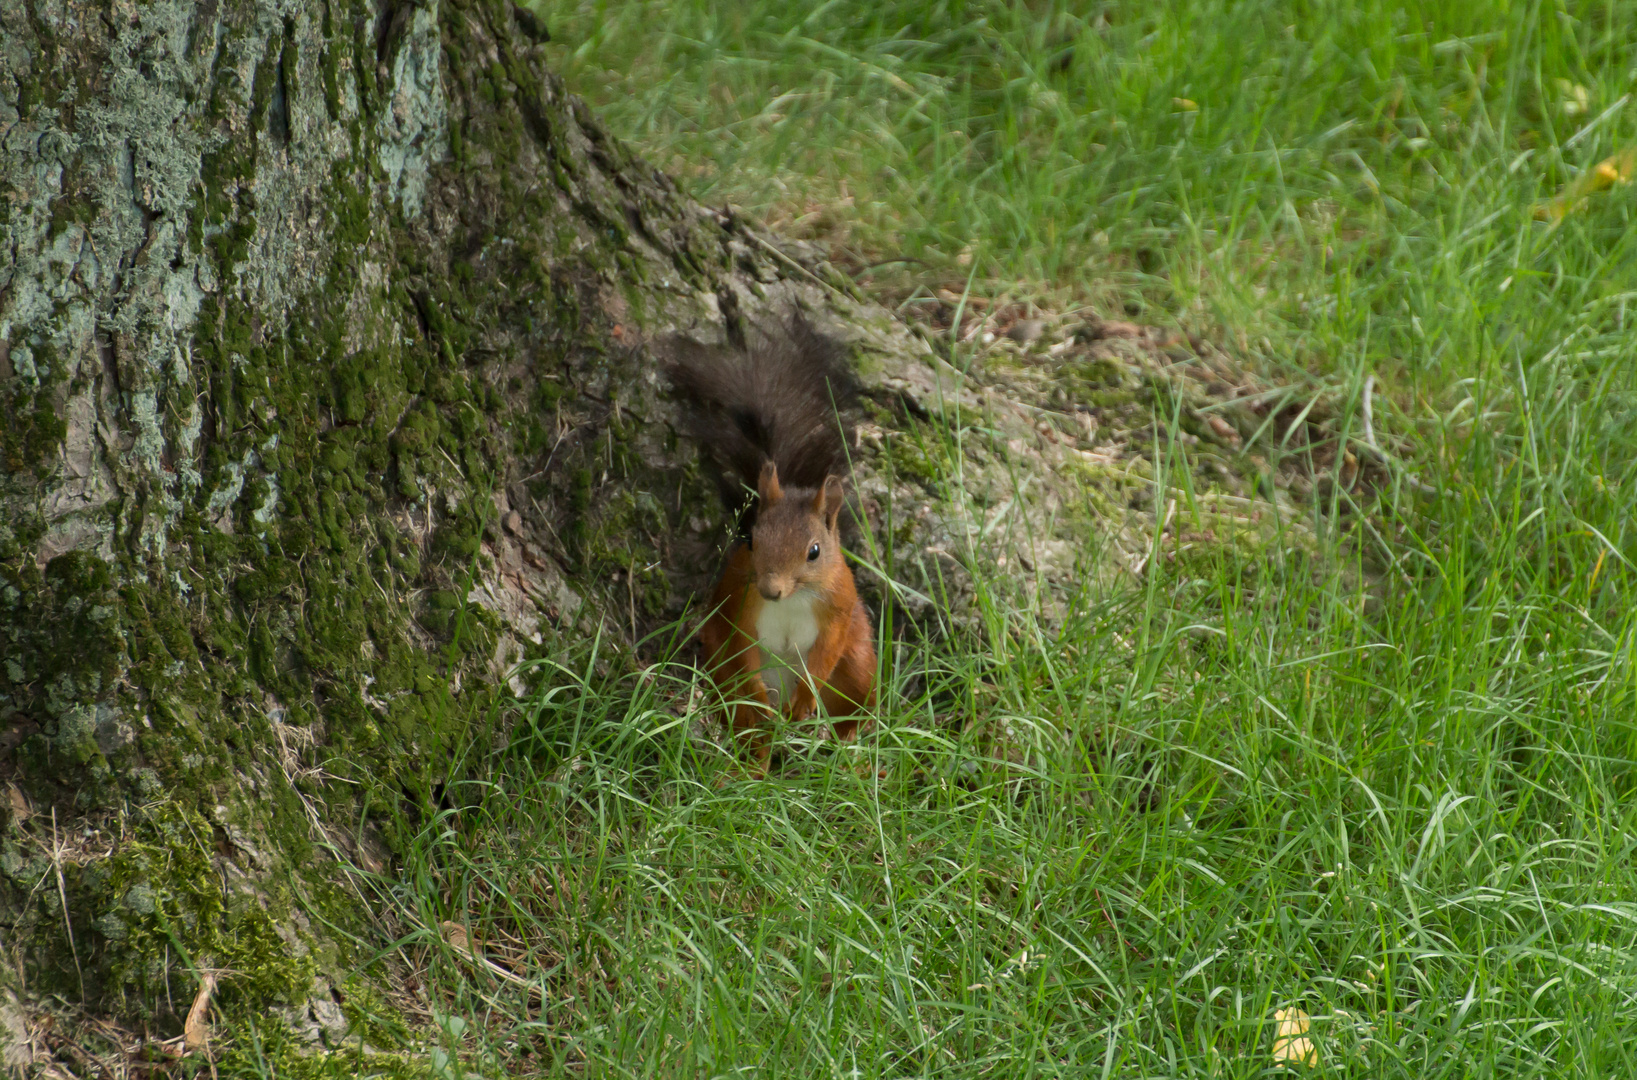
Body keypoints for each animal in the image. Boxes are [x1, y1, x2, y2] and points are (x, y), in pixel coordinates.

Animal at [664, 315, 877, 762]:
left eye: (814, 551)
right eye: (751, 540)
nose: (770, 590)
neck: (793, 599)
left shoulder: (838, 607)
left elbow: (825, 655)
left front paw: (805, 699)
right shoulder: (740, 604)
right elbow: (743, 650)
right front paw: (759, 698)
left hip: (857, 668)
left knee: (850, 711)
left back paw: (841, 749)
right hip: (721, 674)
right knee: (750, 729)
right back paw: (754, 755)